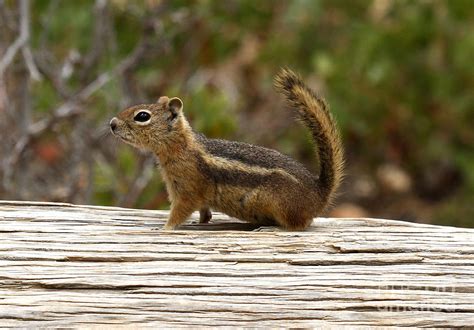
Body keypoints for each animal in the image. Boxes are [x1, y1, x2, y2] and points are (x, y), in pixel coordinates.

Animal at [111, 68, 344, 229]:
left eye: (142, 116)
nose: (112, 124)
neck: (182, 146)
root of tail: (319, 192)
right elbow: (204, 213)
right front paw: (200, 222)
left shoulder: (186, 190)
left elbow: (179, 212)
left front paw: (165, 228)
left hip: (279, 203)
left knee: (300, 224)